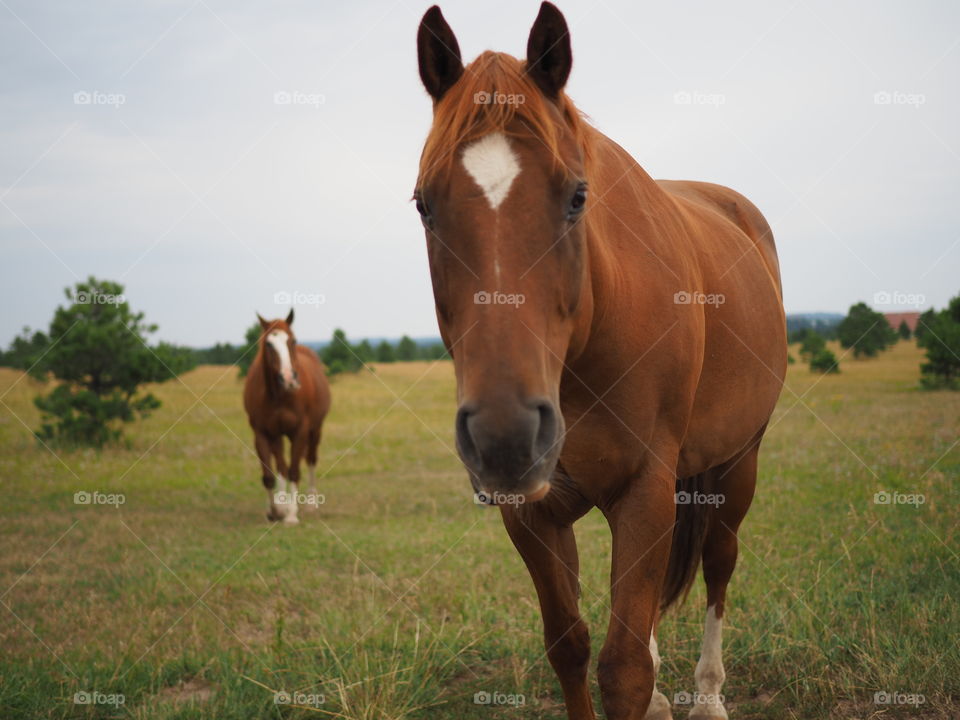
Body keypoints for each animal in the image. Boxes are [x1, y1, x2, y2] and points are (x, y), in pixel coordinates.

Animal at [243, 310, 331, 524]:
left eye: (292, 340)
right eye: (268, 344)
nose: (289, 378)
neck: (279, 395)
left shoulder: (300, 431)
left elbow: (294, 471)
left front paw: (291, 514)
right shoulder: (262, 433)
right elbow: (270, 475)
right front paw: (276, 510)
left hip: (315, 430)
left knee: (310, 460)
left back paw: (310, 503)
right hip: (277, 435)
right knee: (281, 466)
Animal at [415, 4, 785, 719]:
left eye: (578, 197)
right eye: (423, 204)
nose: (505, 436)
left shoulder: (644, 491)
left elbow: (623, 669)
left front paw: (660, 689)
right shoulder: (531, 512)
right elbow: (571, 646)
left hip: (738, 461)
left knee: (720, 561)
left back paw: (708, 695)